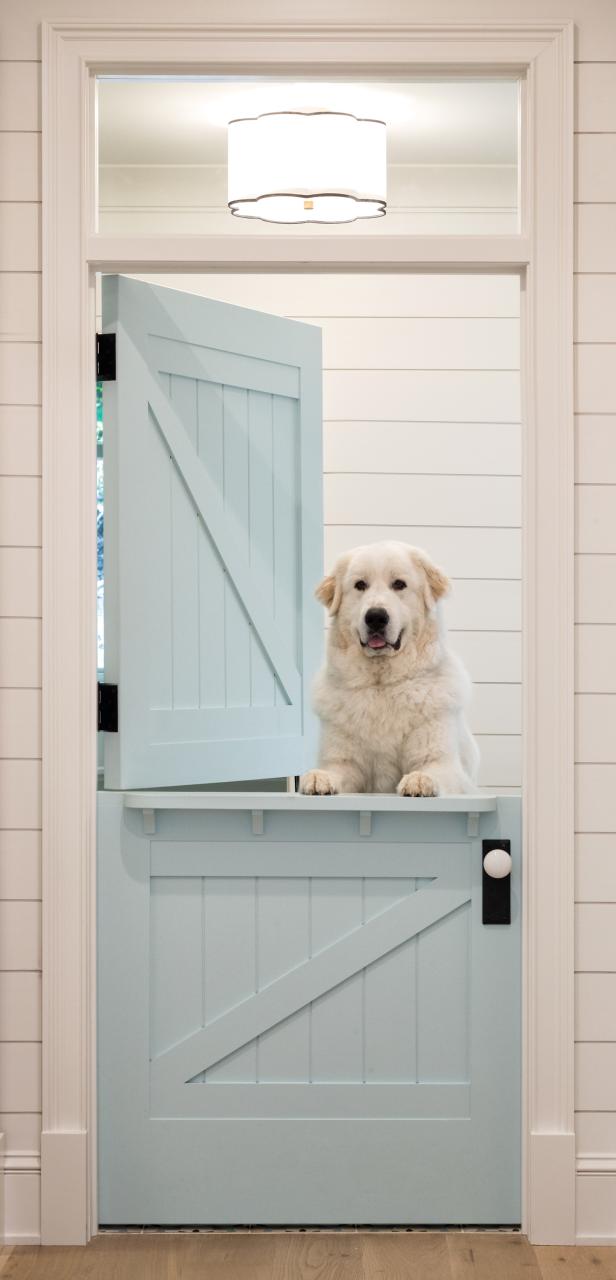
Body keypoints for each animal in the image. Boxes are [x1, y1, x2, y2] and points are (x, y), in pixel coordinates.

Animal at [299, 542, 478, 798]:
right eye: (360, 585)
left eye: (399, 584)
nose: (375, 617)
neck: (382, 685)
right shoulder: (346, 763)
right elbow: (336, 771)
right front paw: (319, 778)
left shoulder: (442, 763)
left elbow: (432, 772)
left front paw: (419, 780)